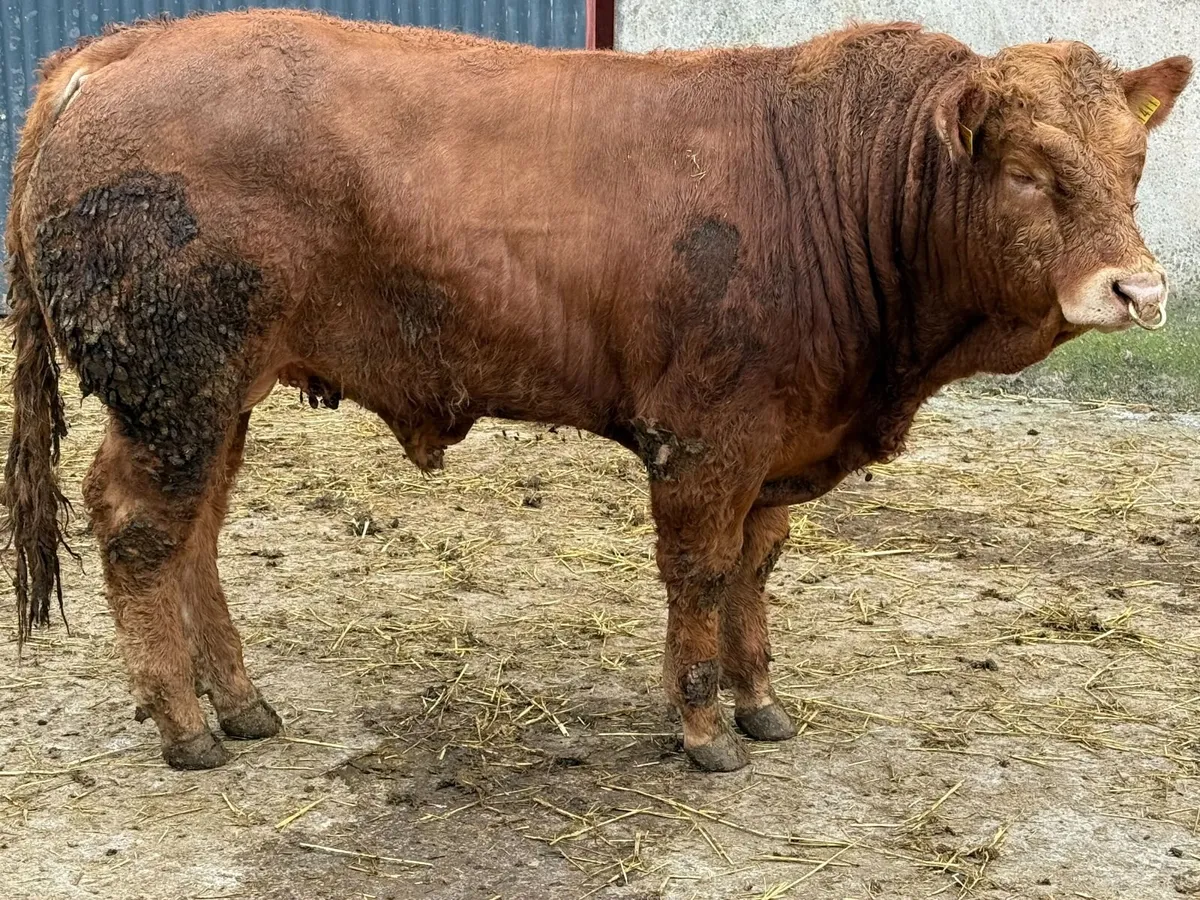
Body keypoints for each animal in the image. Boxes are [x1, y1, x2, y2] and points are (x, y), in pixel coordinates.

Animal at [2, 9, 1190, 772]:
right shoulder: (708, 438)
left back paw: (242, 703)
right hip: (172, 389)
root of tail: (119, 47)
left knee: (196, 532)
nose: (1137, 289)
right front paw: (703, 731)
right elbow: (700, 574)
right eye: (1029, 171)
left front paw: (761, 705)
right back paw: (185, 727)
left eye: (1134, 166)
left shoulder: (777, 447)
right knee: (139, 528)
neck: (834, 182)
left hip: (217, 397)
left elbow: (753, 571)